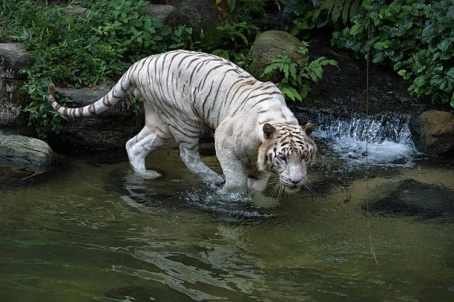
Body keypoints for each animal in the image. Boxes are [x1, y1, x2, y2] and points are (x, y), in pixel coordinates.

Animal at [46, 49, 316, 193]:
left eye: (304, 157)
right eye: (282, 158)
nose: (296, 181)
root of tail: (138, 63)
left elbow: (258, 186)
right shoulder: (224, 141)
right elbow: (236, 179)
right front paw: (227, 192)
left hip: (160, 122)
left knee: (134, 144)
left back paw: (146, 176)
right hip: (183, 119)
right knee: (188, 155)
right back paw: (212, 178)